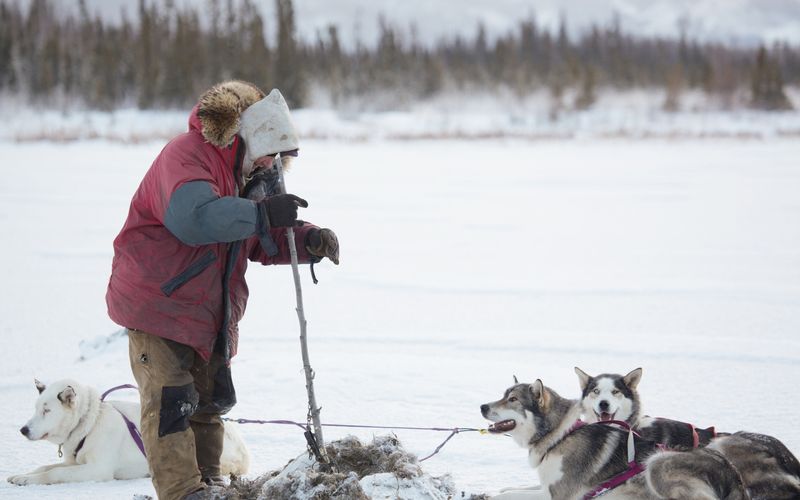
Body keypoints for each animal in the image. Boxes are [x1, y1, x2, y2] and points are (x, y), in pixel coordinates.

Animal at [7, 378, 250, 484]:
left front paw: (29, 480)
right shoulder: (74, 462)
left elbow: (53, 473)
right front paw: (22, 475)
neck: (91, 423)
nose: (23, 430)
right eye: (36, 408)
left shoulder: (97, 470)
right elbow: (45, 467)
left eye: (47, 410)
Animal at [482, 378, 752, 500]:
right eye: (503, 395)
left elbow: (509, 496)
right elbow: (513, 489)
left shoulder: (561, 494)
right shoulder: (548, 485)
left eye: (512, 400)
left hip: (658, 463)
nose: (483, 406)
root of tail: (732, 472)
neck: (560, 437)